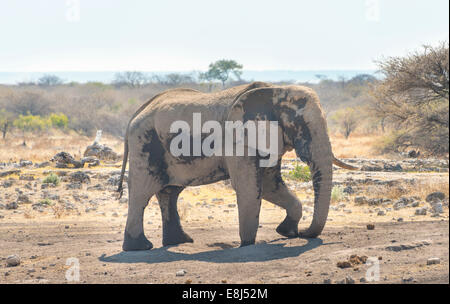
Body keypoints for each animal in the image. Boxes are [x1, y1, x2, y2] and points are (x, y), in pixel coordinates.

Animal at [118, 82, 356, 251]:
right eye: (301, 126)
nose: (304, 233)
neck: (275, 90)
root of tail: (134, 116)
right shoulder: (237, 140)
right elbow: (249, 187)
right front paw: (248, 244)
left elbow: (269, 185)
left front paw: (285, 232)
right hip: (145, 145)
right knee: (141, 194)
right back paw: (139, 248)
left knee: (170, 193)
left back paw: (179, 242)